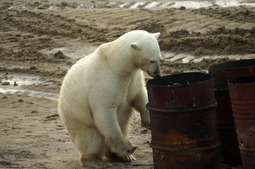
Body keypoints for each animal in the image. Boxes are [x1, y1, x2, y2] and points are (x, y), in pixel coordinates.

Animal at [58, 30, 161, 168]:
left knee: (123, 127)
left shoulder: (132, 79)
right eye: (151, 60)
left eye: (160, 58)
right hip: (77, 119)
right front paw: (128, 148)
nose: (157, 74)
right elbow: (105, 112)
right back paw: (97, 161)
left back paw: (122, 157)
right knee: (91, 140)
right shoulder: (105, 81)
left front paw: (148, 121)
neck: (116, 64)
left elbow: (139, 96)